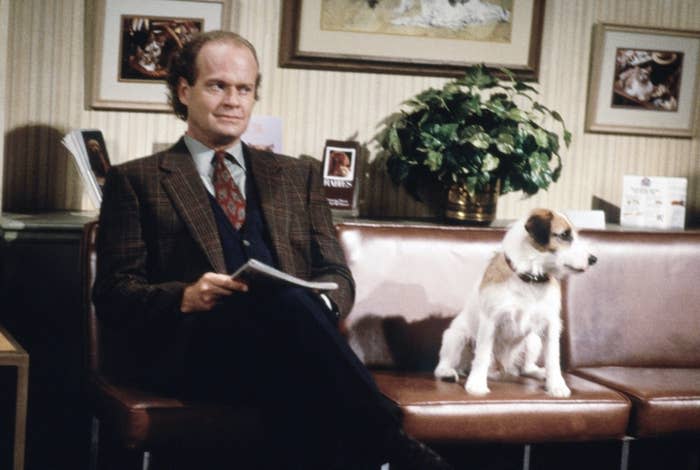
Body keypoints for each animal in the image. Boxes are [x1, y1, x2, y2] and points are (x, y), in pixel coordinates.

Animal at [432, 209, 596, 396]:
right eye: (564, 235)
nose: (594, 259)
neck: (530, 279)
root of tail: (504, 368)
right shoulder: (490, 321)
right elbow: (482, 355)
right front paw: (477, 384)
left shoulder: (551, 325)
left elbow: (553, 358)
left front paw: (556, 385)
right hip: (455, 337)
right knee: (445, 364)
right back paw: (448, 372)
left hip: (533, 341)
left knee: (526, 368)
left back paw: (540, 372)